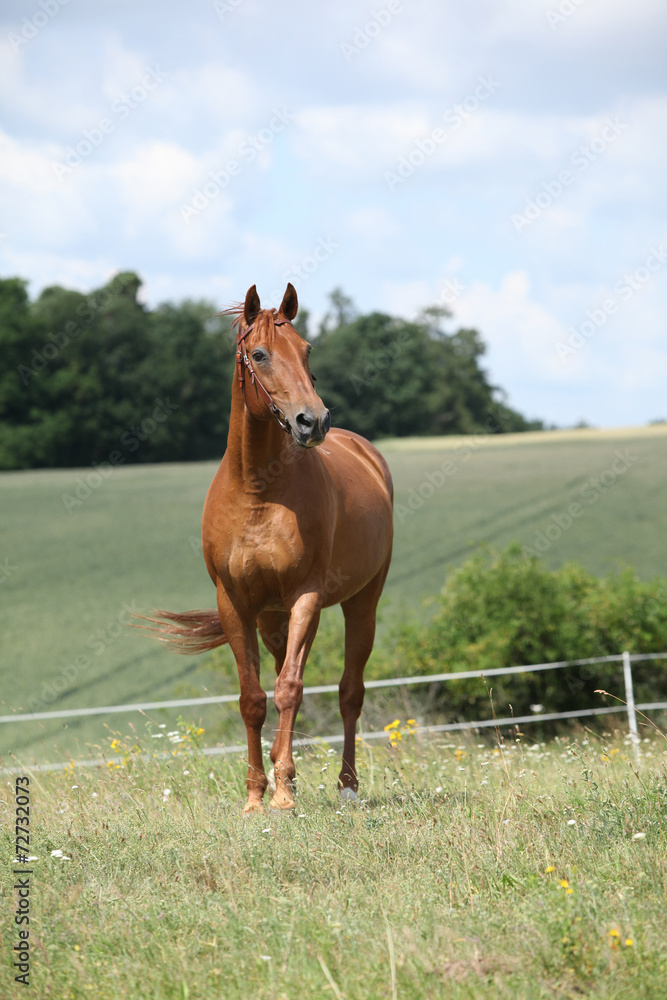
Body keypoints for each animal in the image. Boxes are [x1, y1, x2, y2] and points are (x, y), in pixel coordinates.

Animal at [142, 283, 393, 813]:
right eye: (259, 354)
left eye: (306, 350)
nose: (313, 421)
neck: (258, 492)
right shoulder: (236, 604)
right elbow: (254, 698)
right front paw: (259, 794)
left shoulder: (306, 598)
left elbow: (291, 689)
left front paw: (281, 795)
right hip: (273, 619)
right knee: (281, 679)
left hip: (361, 602)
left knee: (348, 692)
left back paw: (345, 786)